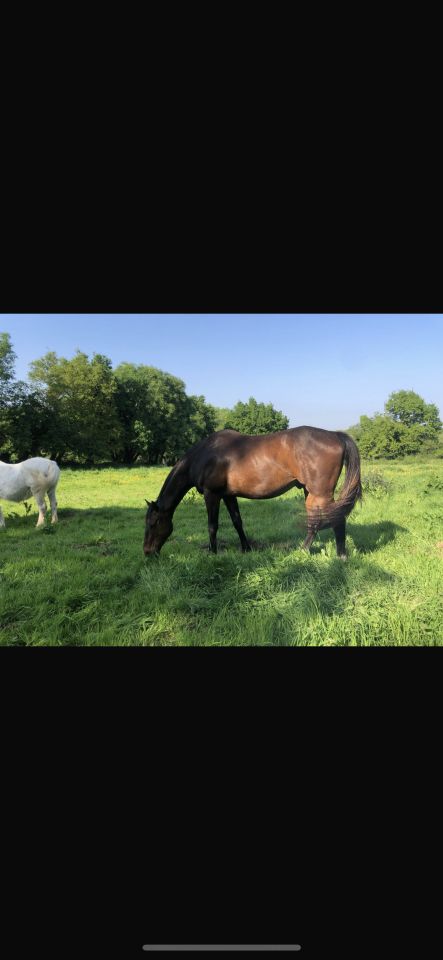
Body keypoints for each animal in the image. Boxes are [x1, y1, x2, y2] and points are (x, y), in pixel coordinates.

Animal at [143, 426, 362, 559]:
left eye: (153, 524)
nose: (147, 552)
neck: (204, 456)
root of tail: (334, 434)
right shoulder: (228, 495)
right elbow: (237, 521)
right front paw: (246, 548)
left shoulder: (211, 494)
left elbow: (212, 526)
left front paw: (212, 553)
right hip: (310, 493)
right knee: (314, 523)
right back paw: (301, 553)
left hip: (323, 494)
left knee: (337, 519)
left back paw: (341, 556)